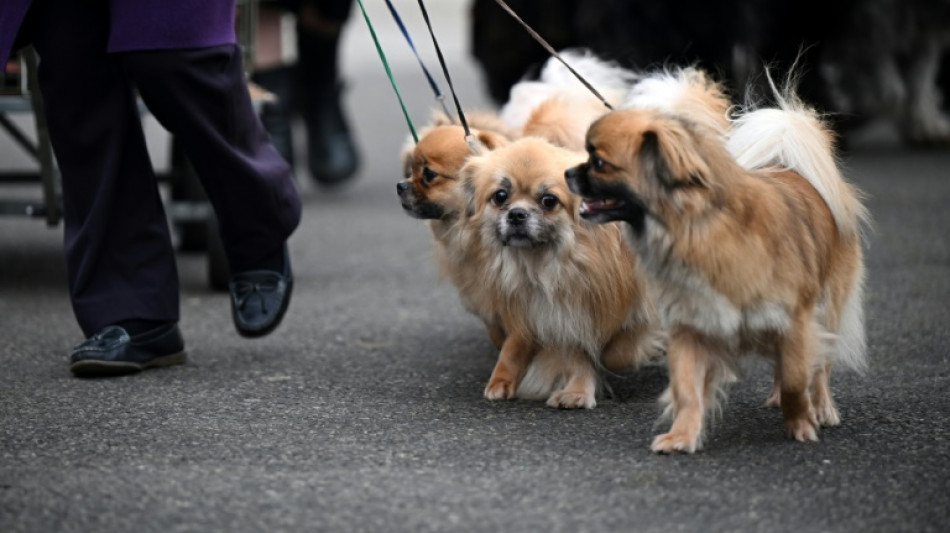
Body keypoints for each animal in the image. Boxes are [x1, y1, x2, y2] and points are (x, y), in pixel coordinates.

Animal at [462, 137, 660, 408]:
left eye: (549, 201)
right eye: (500, 196)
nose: (517, 214)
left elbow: (619, 351)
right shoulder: (566, 314)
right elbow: (579, 356)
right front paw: (577, 392)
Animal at [564, 85, 872, 450]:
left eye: (598, 162)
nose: (568, 173)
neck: (697, 229)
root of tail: (792, 169)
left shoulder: (794, 320)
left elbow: (797, 379)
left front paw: (802, 424)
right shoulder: (692, 325)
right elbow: (687, 389)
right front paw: (681, 436)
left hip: (828, 307)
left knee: (821, 366)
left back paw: (822, 408)